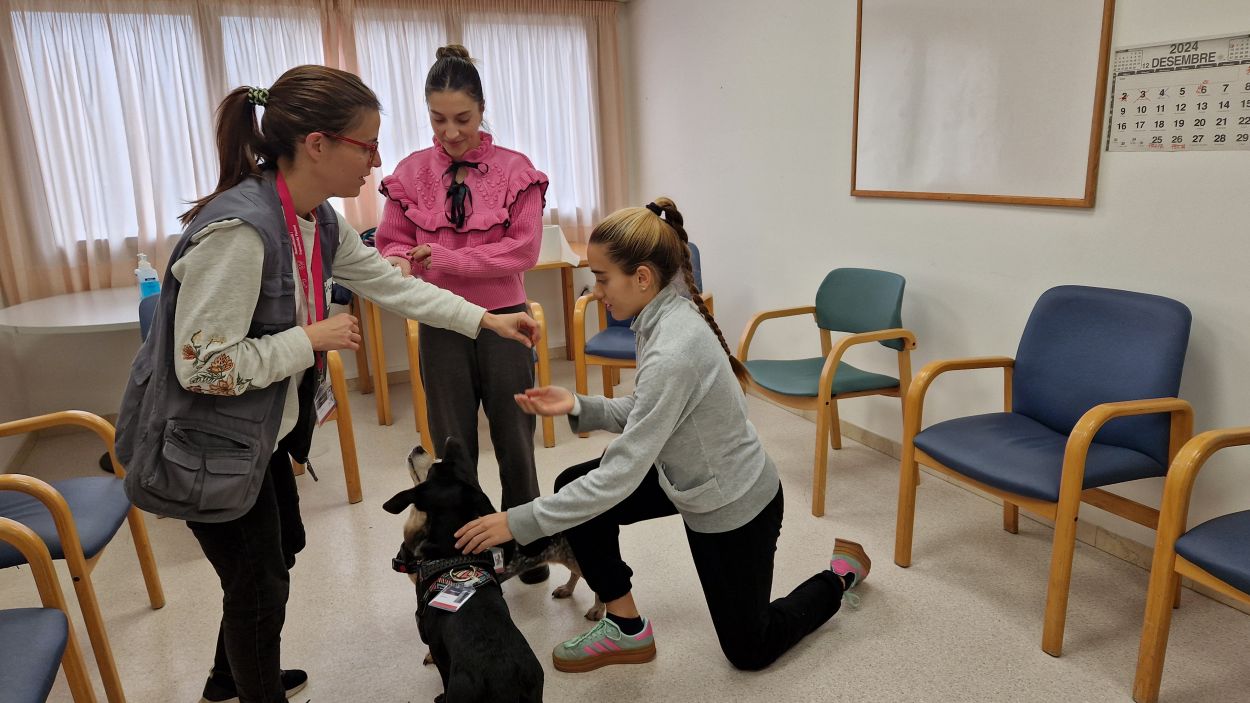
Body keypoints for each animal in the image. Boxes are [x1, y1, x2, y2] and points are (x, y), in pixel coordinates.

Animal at [382, 437, 545, 700]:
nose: (420, 447)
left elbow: (440, 669)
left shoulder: (436, 646)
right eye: (463, 468)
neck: (452, 553)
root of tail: (502, 678)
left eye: (433, 469)